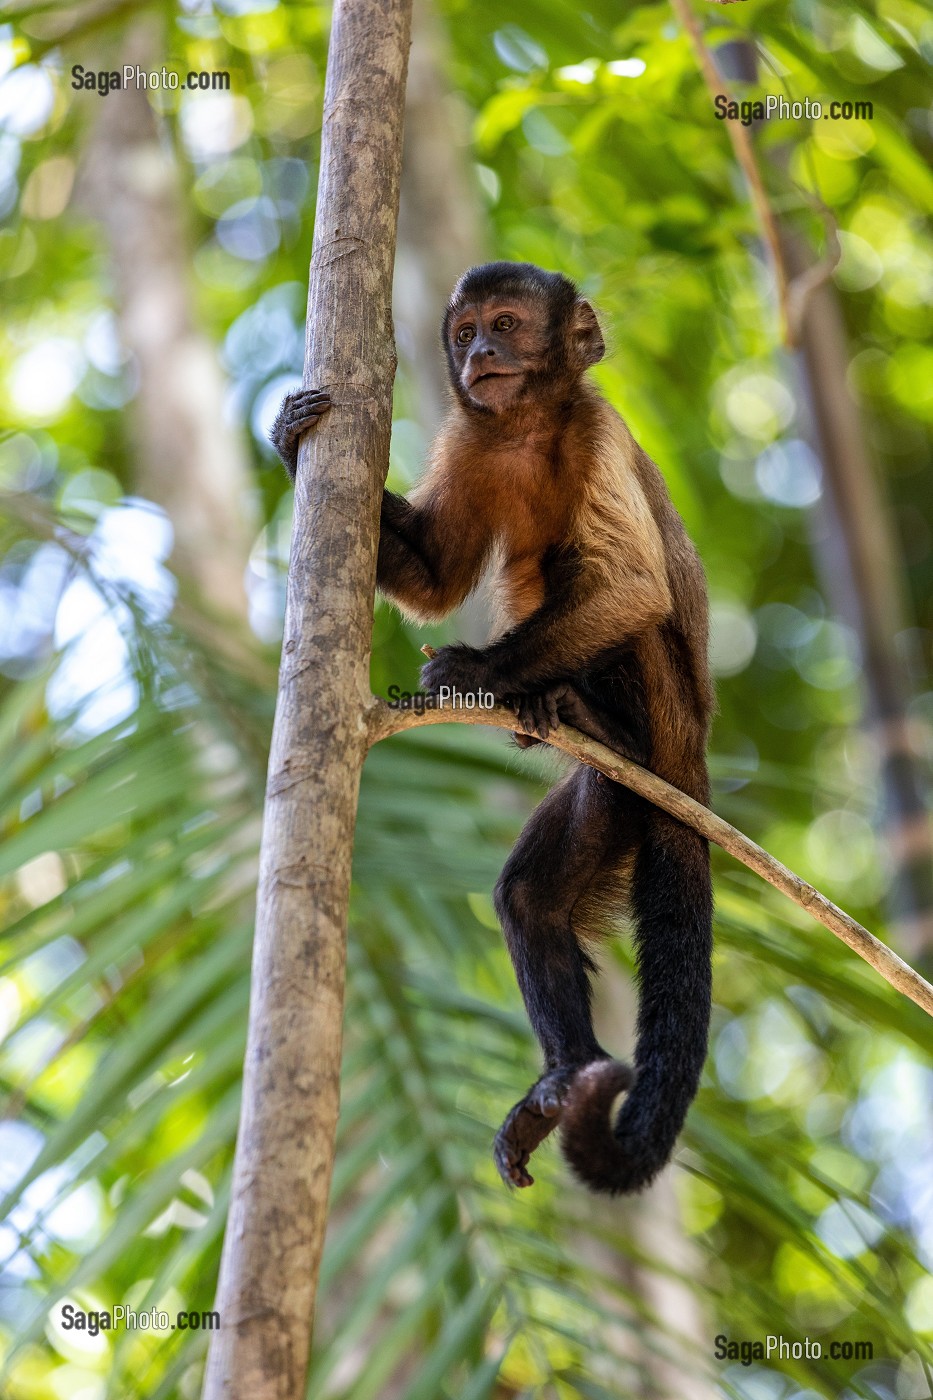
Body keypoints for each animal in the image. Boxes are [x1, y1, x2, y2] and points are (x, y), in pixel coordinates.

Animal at [268, 260, 711, 1192]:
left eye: (506, 324)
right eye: (466, 331)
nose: (482, 357)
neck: (528, 428)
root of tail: (686, 765)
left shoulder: (596, 430)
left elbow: (633, 588)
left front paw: (472, 673)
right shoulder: (469, 442)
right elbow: (437, 579)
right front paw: (290, 440)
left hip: (663, 728)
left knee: (610, 583)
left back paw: (576, 712)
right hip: (613, 801)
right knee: (529, 899)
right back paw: (563, 1079)